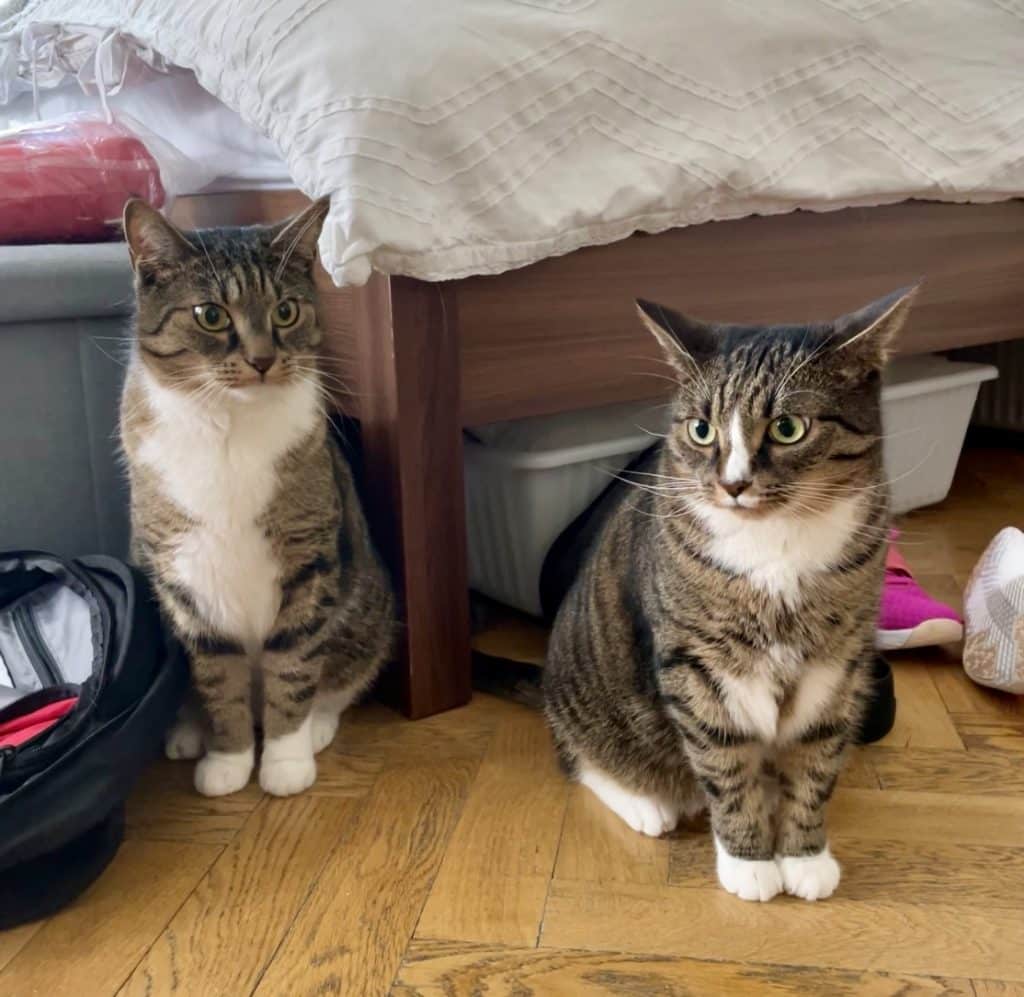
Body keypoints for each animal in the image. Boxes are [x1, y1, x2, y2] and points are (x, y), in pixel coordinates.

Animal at [117, 198, 393, 798]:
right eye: (210, 315)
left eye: (286, 311)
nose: (264, 360)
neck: (229, 424)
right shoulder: (183, 581)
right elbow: (219, 681)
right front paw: (228, 760)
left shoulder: (309, 564)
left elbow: (293, 664)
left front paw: (285, 763)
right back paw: (187, 732)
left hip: (368, 613)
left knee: (337, 679)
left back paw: (317, 726)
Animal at [544, 286, 913, 904]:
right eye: (701, 430)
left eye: (788, 428)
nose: (733, 484)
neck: (779, 543)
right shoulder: (696, 662)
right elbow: (724, 757)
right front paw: (749, 862)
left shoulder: (838, 660)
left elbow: (816, 760)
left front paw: (805, 855)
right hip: (588, 697)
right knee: (581, 757)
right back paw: (647, 803)